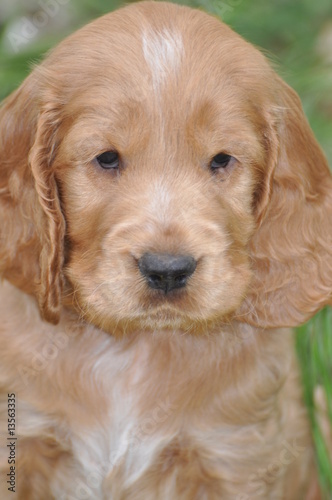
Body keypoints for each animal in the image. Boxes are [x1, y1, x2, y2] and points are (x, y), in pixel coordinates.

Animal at [0, 1, 332, 498]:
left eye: (222, 160)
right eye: (107, 158)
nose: (168, 270)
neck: (133, 350)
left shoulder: (233, 454)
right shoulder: (23, 440)